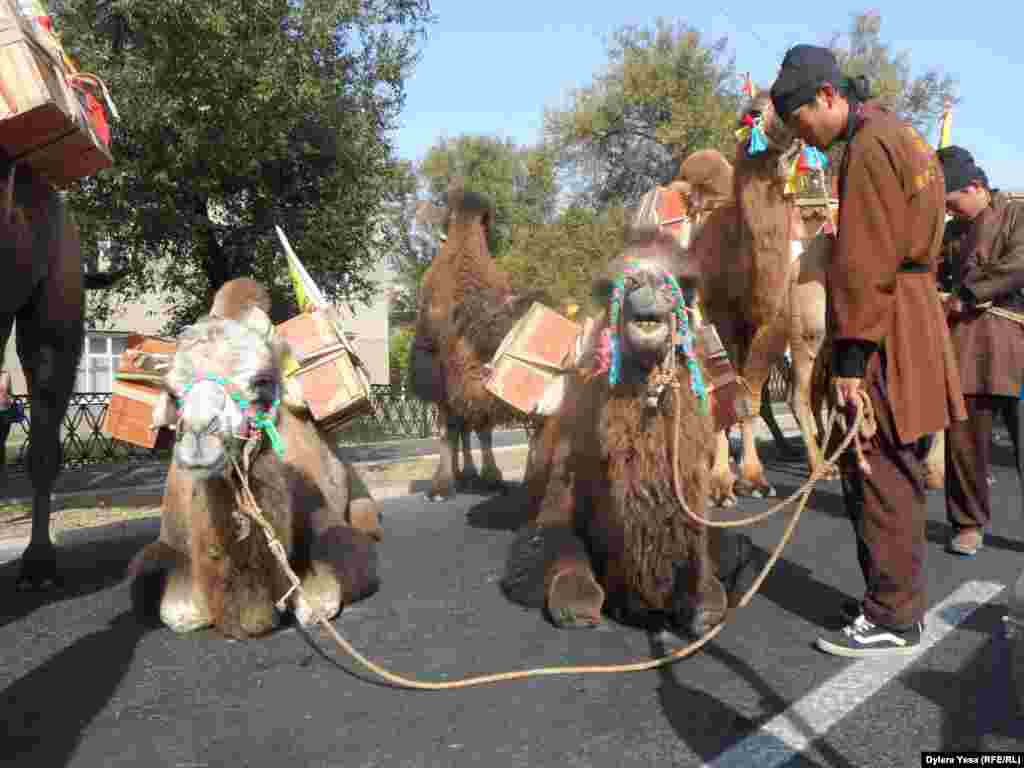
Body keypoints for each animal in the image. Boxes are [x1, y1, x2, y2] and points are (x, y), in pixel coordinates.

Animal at [127, 280, 382, 638]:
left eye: (261, 381)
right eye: (174, 393)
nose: (200, 438)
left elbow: (320, 600)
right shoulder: (166, 547)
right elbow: (178, 612)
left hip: (361, 501)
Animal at [409, 183, 548, 501]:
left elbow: (482, 427)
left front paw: (492, 478)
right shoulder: (438, 368)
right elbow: (448, 428)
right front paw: (440, 487)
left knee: (466, 423)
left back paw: (469, 476)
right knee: (456, 425)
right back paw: (459, 477)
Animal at [499, 228, 765, 638]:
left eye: (677, 284)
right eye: (621, 284)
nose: (647, 283)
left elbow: (716, 552)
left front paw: (705, 603)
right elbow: (553, 545)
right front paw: (578, 605)